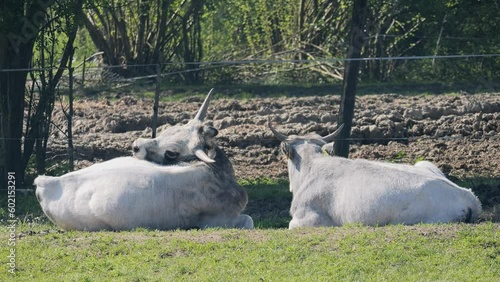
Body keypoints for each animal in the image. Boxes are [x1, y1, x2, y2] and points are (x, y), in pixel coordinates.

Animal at [35, 90, 254, 231]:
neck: (218, 173)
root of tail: (47, 181)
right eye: (170, 129)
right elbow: (249, 221)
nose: (136, 145)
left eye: (171, 153)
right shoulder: (220, 220)